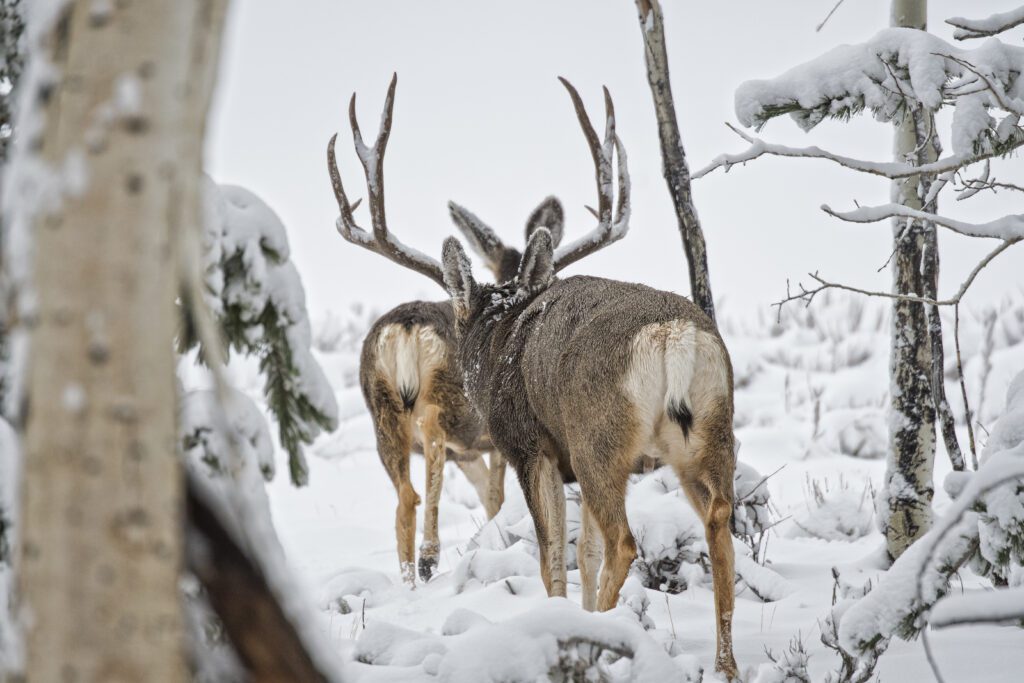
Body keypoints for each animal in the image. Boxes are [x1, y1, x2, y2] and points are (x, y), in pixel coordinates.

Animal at [327, 74, 739, 678]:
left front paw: (561, 624)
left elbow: (552, 557)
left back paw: (606, 636)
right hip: (711, 429)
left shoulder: (530, 446)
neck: (499, 334)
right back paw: (725, 663)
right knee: (719, 521)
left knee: (623, 542)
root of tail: (672, 338)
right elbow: (583, 554)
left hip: (598, 436)